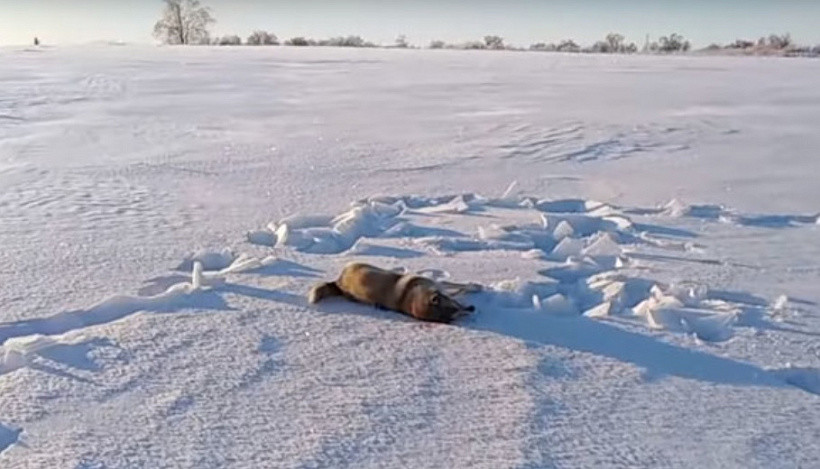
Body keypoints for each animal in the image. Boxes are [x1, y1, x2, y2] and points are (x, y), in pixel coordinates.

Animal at [310, 262, 480, 324]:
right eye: (455, 311)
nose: (473, 308)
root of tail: (338, 281)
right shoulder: (435, 284)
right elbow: (458, 287)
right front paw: (477, 286)